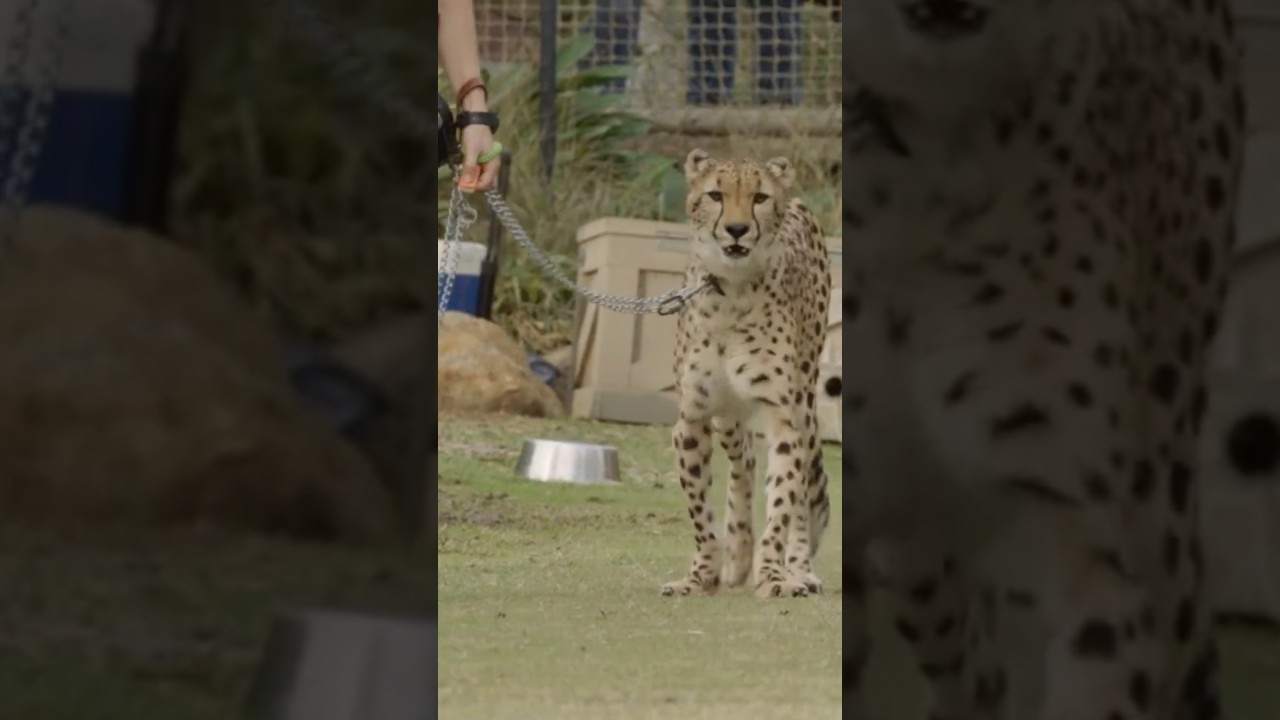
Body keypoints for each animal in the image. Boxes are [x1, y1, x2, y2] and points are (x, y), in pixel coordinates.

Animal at [660, 149, 835, 600]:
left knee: (801, 488)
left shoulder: (784, 416)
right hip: (727, 416)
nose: (737, 229)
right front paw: (700, 576)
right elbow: (699, 511)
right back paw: (738, 552)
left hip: (806, 404)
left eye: (759, 198)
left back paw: (799, 568)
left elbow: (783, 500)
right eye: (715, 195)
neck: (731, 294)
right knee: (745, 460)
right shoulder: (694, 417)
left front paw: (773, 574)